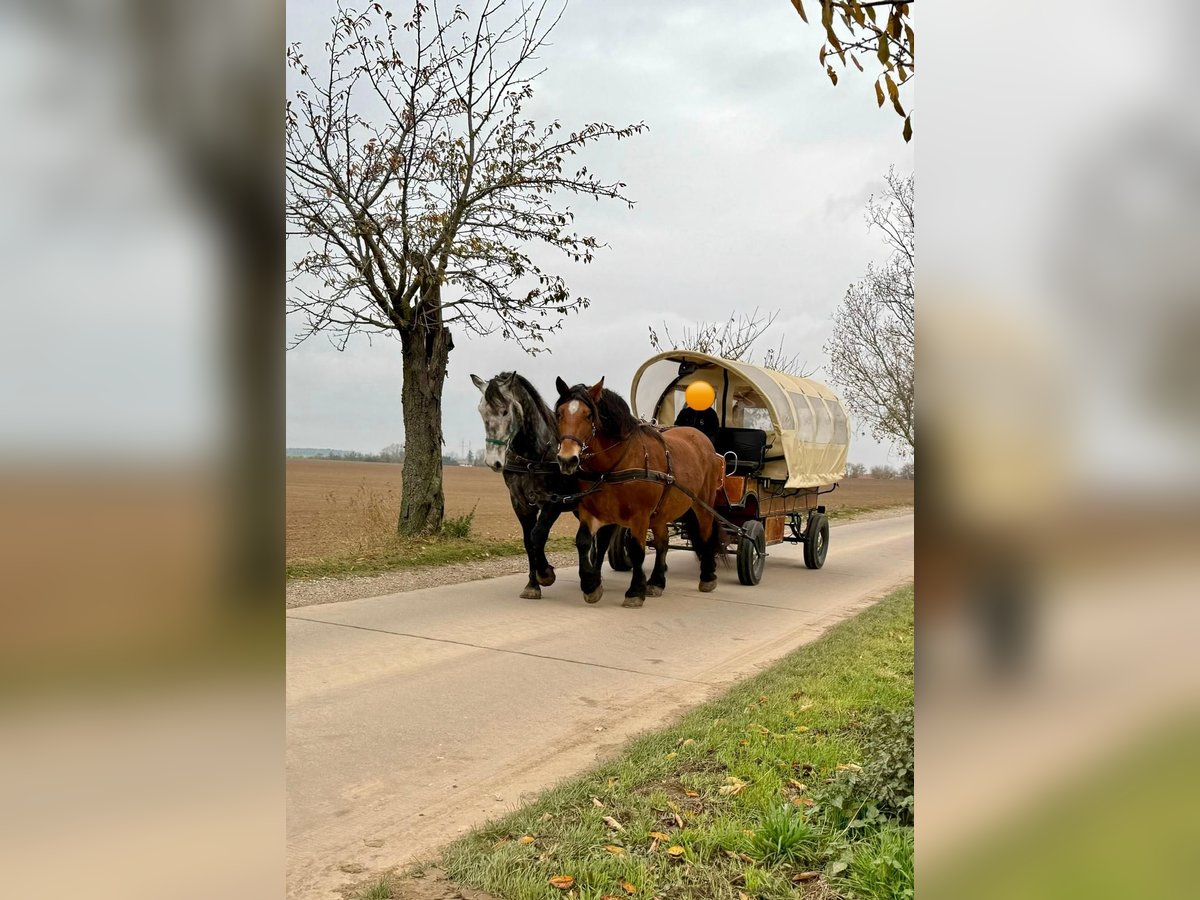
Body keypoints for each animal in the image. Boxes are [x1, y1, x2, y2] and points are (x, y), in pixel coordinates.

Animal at [468, 374, 585, 600]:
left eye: (505, 411)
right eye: (481, 410)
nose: (493, 461)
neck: (533, 457)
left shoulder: (553, 501)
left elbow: (537, 535)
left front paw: (545, 573)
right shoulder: (520, 503)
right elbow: (528, 541)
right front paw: (532, 584)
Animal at [552, 376, 720, 609]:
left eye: (588, 415)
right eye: (559, 413)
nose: (567, 460)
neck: (613, 465)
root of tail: (700, 436)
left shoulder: (640, 516)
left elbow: (636, 549)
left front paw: (635, 591)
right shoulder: (591, 511)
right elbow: (584, 541)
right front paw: (591, 585)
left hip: (703, 504)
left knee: (706, 535)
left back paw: (707, 576)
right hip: (661, 512)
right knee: (662, 542)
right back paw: (657, 581)